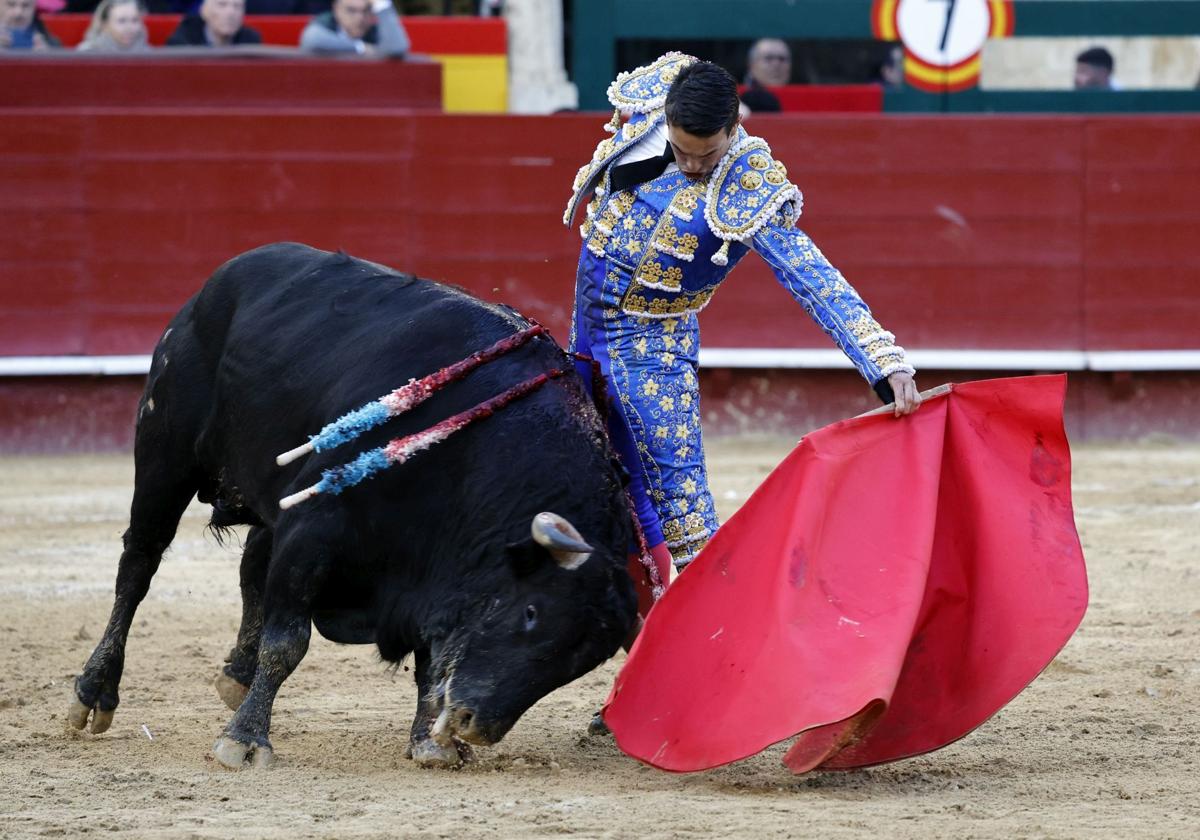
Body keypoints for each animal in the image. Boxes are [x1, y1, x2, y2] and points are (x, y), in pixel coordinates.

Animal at [68, 241, 638, 768]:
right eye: (532, 612)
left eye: (579, 663)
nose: (474, 726)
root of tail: (220, 280)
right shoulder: (311, 529)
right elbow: (287, 641)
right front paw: (245, 740)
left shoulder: (431, 569)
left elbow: (428, 659)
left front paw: (428, 742)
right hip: (165, 457)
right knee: (139, 565)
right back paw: (95, 693)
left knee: (250, 567)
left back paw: (236, 674)